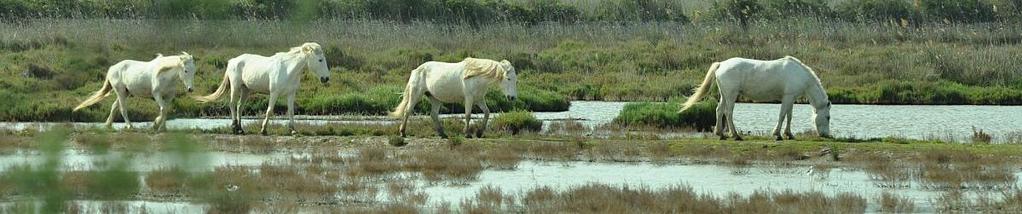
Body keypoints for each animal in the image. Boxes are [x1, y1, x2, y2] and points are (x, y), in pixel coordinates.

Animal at [194, 42, 327, 134]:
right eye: (320, 60)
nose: (325, 78)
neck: (288, 69)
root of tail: (232, 61)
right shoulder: (274, 93)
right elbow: (269, 111)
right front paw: (263, 130)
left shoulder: (291, 93)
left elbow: (291, 111)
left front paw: (293, 130)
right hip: (235, 87)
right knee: (232, 104)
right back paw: (234, 127)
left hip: (245, 90)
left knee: (240, 106)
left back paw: (240, 129)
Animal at [390, 56, 519, 138]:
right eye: (508, 79)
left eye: (515, 80)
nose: (512, 98)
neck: (477, 76)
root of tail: (416, 70)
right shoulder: (469, 98)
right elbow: (467, 115)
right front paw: (467, 133)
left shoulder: (479, 99)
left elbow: (487, 113)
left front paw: (480, 133)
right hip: (416, 94)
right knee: (407, 111)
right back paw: (402, 132)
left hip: (435, 99)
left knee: (433, 114)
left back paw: (442, 134)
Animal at [678, 56, 829, 141]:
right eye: (828, 117)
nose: (826, 135)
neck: (799, 74)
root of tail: (721, 64)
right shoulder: (787, 97)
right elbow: (782, 115)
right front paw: (777, 134)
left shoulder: (790, 98)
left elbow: (789, 116)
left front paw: (789, 134)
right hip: (731, 95)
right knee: (728, 113)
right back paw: (735, 135)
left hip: (724, 94)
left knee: (719, 110)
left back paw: (720, 134)